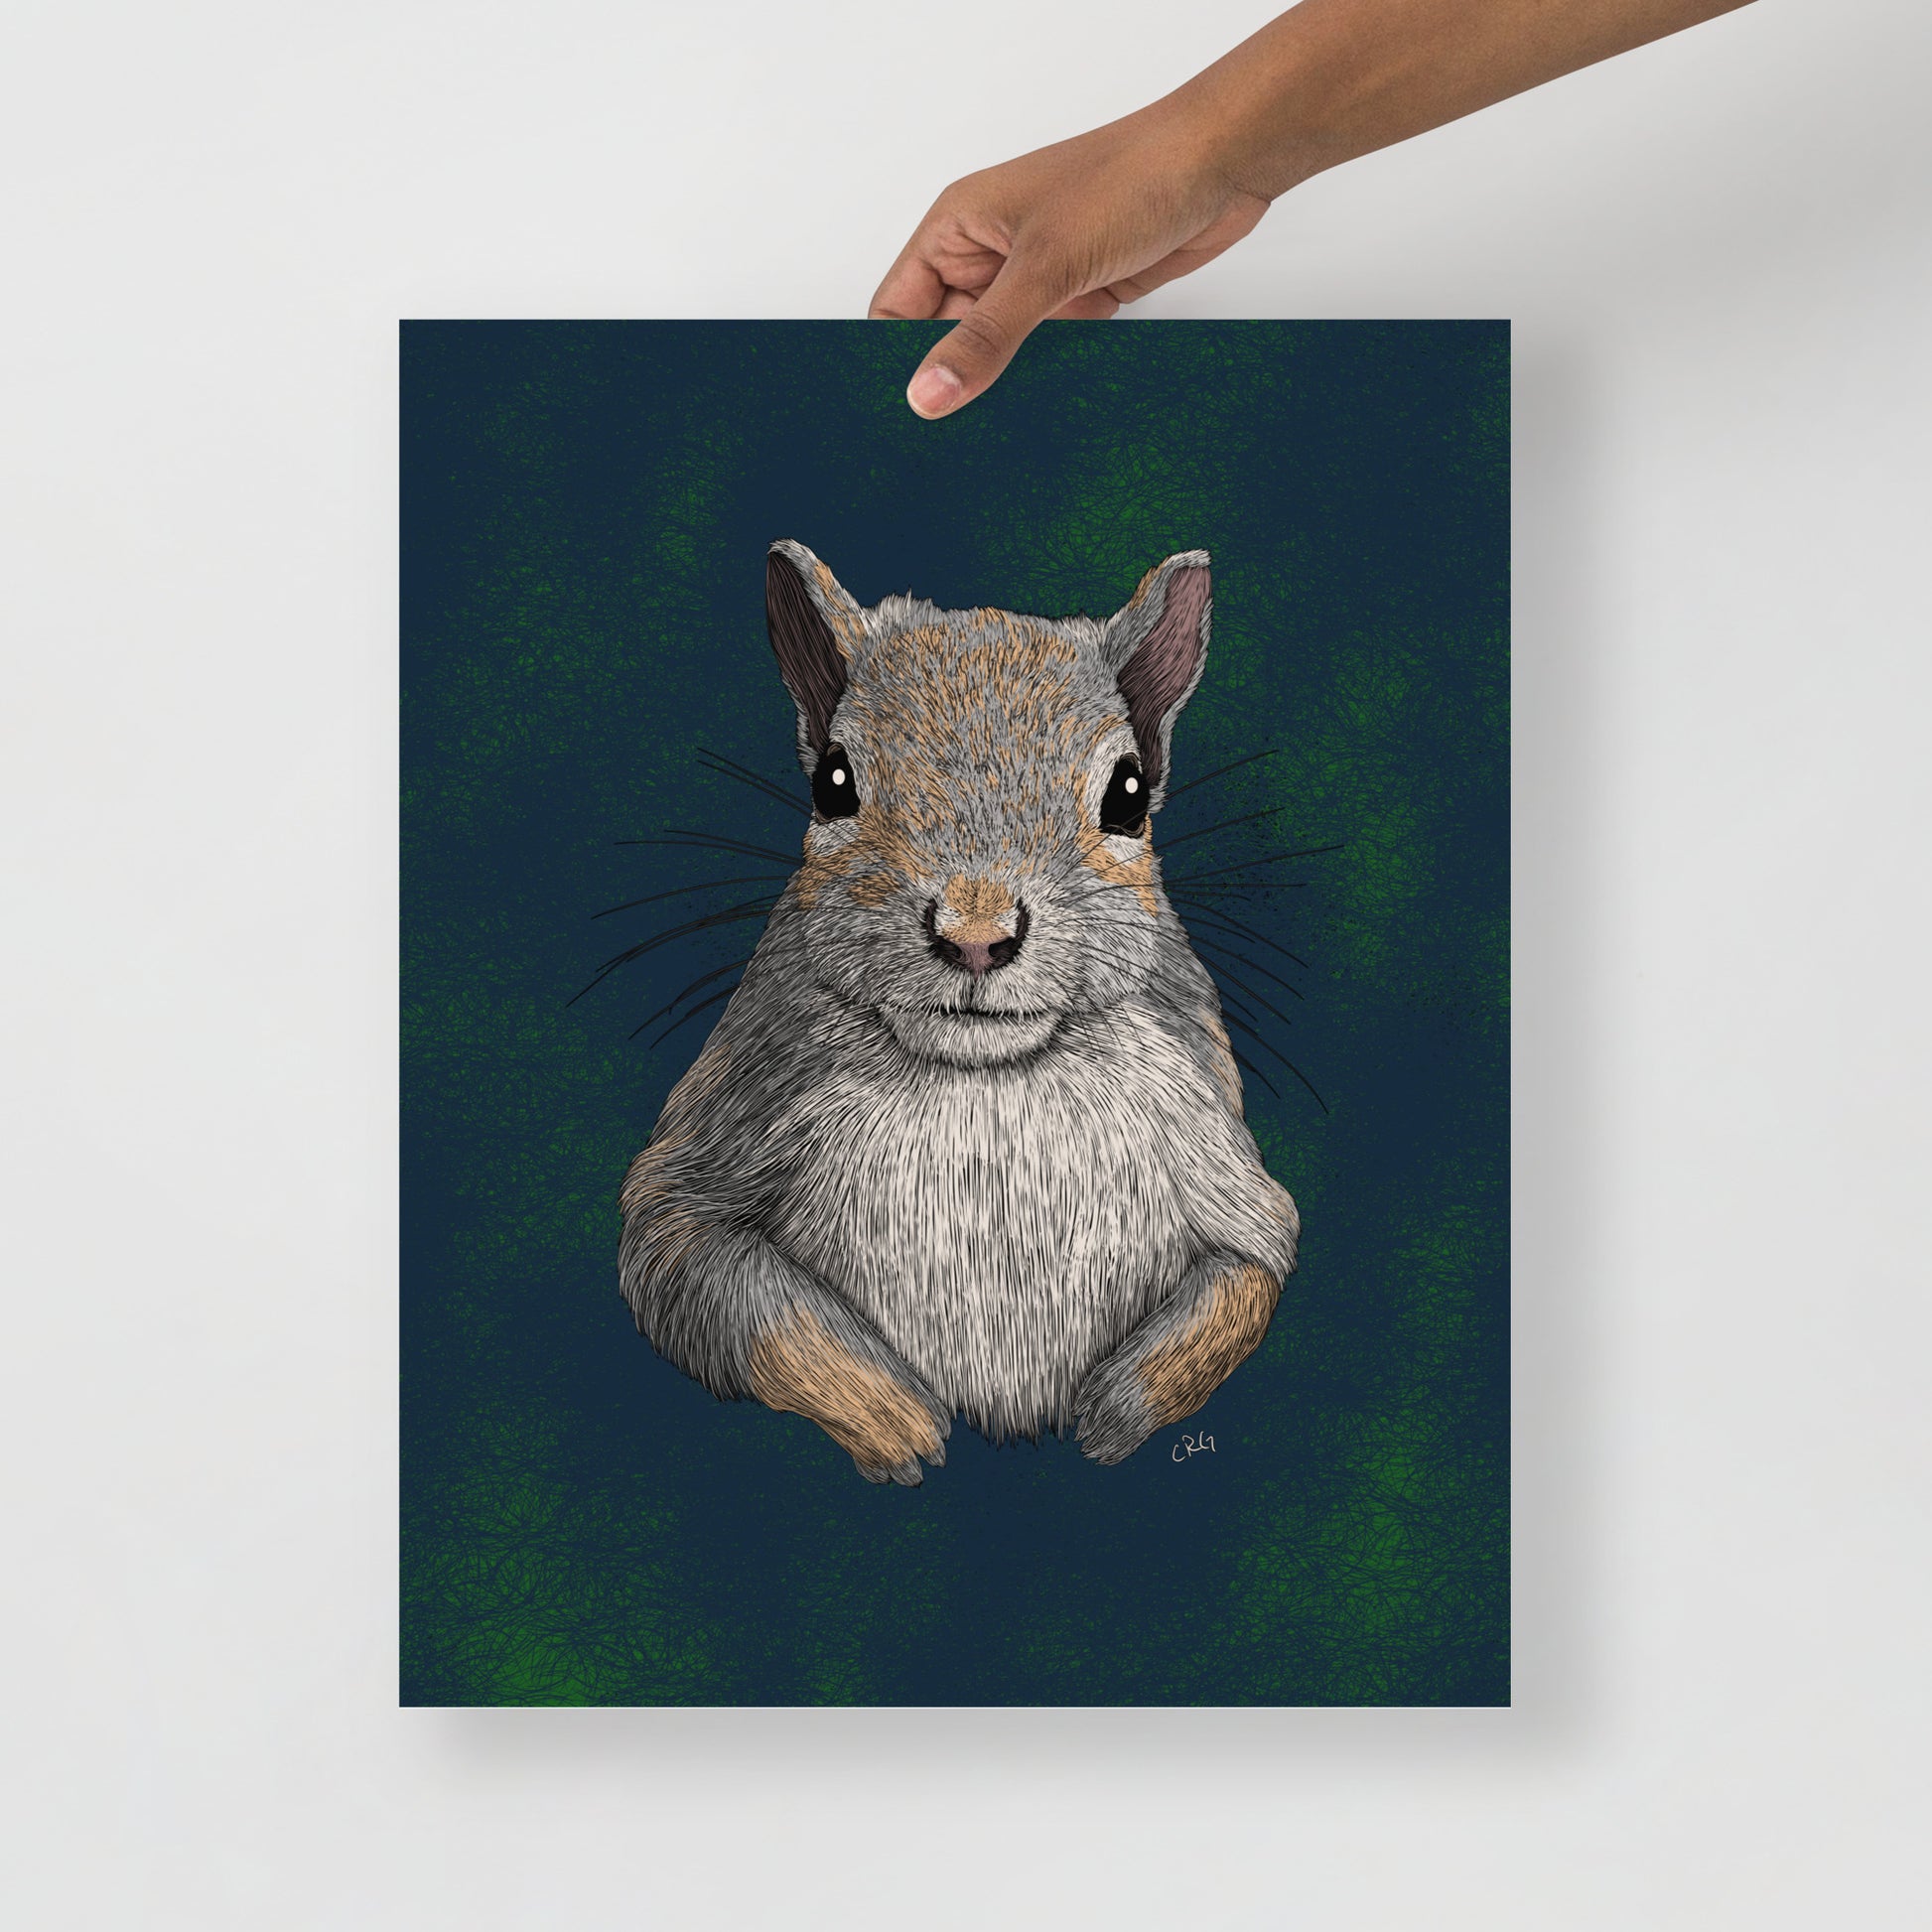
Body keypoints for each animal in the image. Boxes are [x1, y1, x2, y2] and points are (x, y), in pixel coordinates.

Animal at [619, 540, 1300, 1484]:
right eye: (834, 782)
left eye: (1129, 795)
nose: (976, 935)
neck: (984, 1077)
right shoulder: (724, 1131)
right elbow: (717, 1284)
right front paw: (896, 1421)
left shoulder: (1214, 1144)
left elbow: (1247, 1273)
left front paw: (1110, 1414)